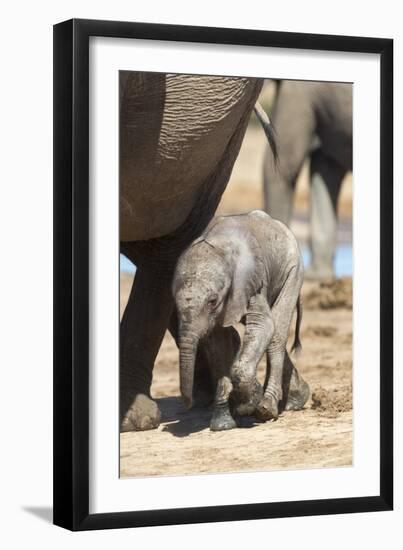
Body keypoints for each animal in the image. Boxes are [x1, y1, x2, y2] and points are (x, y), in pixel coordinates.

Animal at [173, 211, 310, 432]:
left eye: (212, 301)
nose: (188, 404)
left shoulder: (250, 280)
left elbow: (263, 325)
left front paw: (247, 404)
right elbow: (218, 343)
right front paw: (223, 424)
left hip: (293, 270)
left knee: (276, 335)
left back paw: (266, 408)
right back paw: (297, 399)